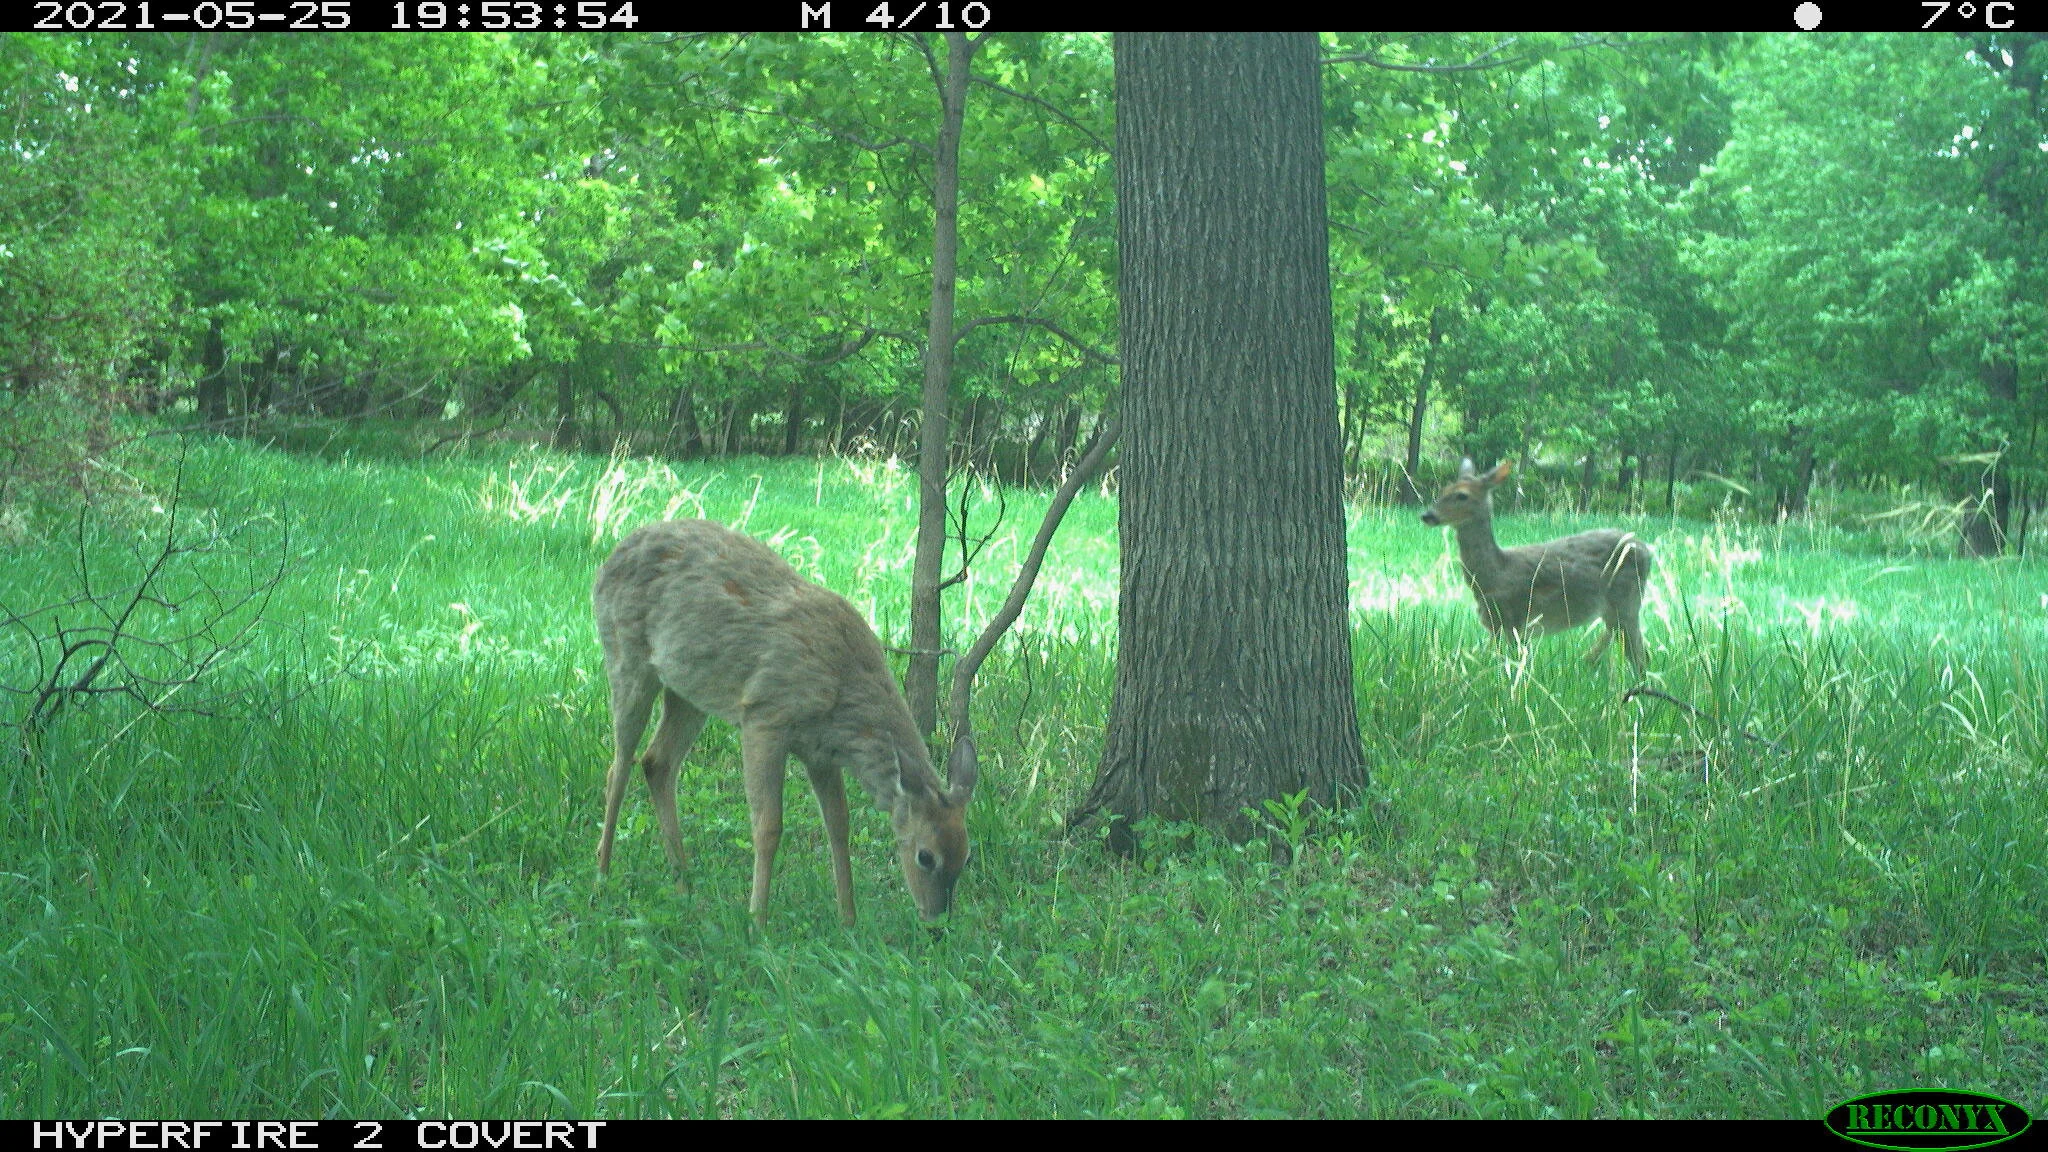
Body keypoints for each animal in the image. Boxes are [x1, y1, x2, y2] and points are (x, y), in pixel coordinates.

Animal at [593, 519, 976, 930]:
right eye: (926, 856)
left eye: (966, 856)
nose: (937, 924)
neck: (843, 688)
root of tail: (612, 556)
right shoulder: (764, 717)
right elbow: (768, 826)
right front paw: (757, 922)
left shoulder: (821, 752)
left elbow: (839, 826)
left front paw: (849, 920)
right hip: (626, 656)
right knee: (619, 765)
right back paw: (603, 873)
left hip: (689, 690)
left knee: (656, 762)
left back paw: (684, 888)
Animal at [1420, 459, 1653, 673]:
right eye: (1443, 490)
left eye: (1462, 495)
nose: (1427, 515)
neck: (1494, 574)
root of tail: (1646, 550)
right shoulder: (1499, 624)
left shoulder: (1514, 619)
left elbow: (1513, 662)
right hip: (1616, 609)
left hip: (1627, 601)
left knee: (1639, 654)